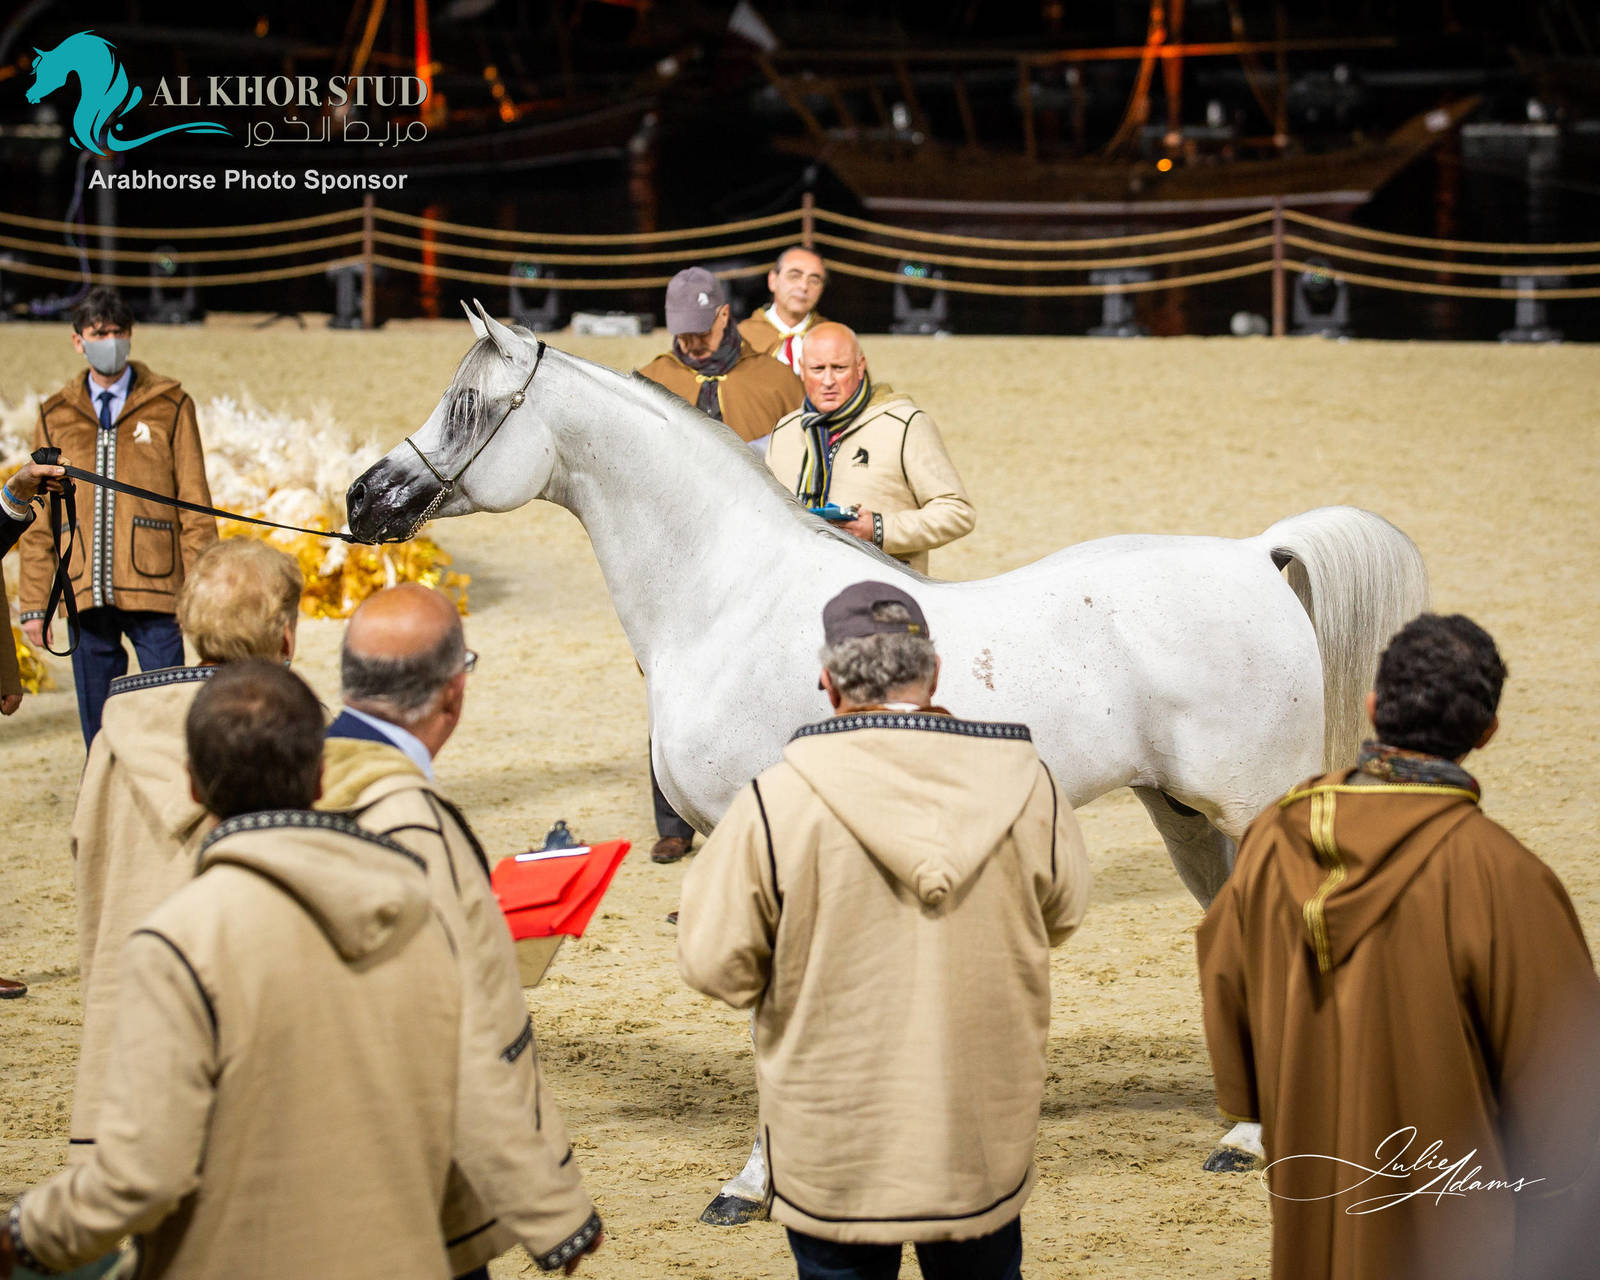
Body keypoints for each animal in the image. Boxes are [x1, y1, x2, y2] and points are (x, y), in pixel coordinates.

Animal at [345, 302, 1429, 1216]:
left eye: (469, 405)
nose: (365, 498)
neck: (731, 593)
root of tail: (1253, 556)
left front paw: (754, 1185)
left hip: (1251, 804)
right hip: (1185, 816)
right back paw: (1241, 1134)